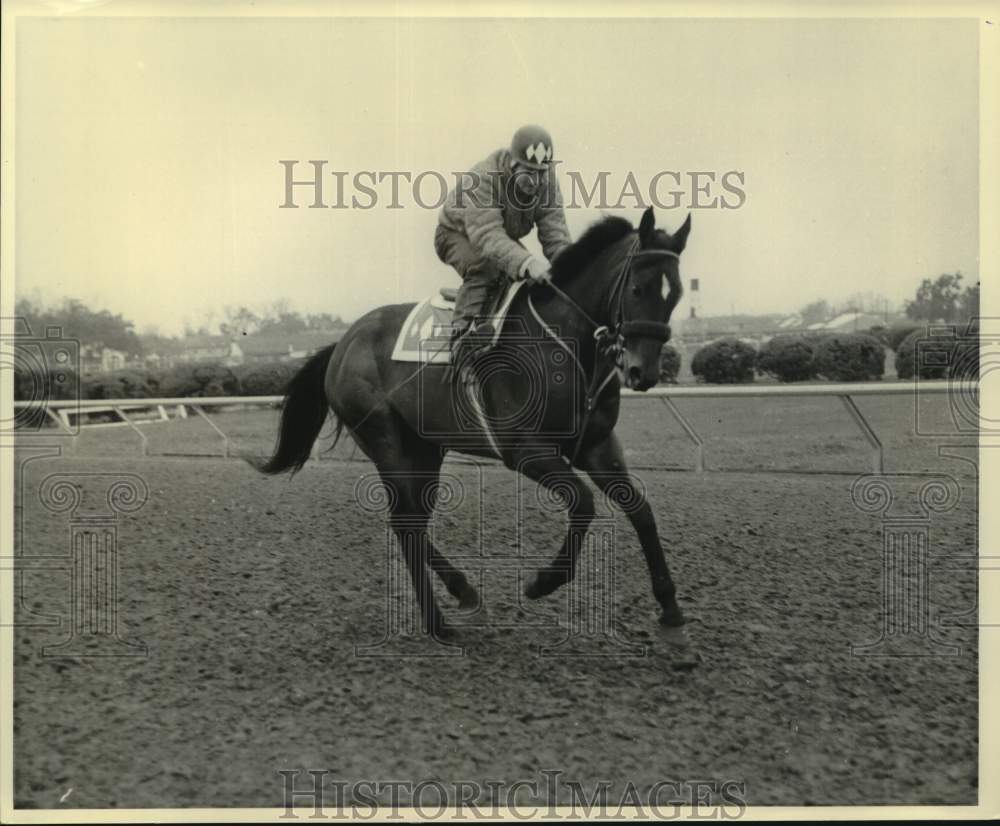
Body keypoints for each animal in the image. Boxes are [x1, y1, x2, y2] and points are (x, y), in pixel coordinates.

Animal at [256, 208, 696, 656]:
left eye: (675, 294)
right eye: (638, 288)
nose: (643, 372)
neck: (565, 345)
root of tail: (342, 343)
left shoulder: (597, 444)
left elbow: (640, 509)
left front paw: (671, 612)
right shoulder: (525, 451)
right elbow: (585, 503)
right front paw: (542, 582)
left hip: (425, 450)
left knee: (413, 522)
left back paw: (464, 592)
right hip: (385, 440)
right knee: (406, 523)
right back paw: (438, 623)